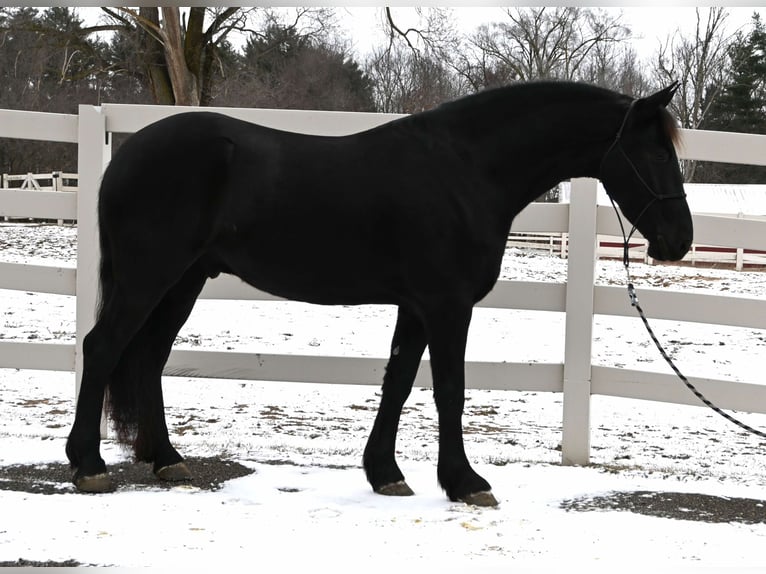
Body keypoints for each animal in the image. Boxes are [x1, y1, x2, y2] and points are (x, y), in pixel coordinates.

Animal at [66, 80, 692, 504]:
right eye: (657, 152)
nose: (679, 240)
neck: (466, 170)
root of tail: (126, 155)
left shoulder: (416, 307)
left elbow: (398, 383)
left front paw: (386, 474)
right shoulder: (447, 306)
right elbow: (449, 391)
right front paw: (465, 482)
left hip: (183, 281)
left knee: (148, 357)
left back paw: (167, 461)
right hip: (150, 278)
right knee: (103, 348)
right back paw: (88, 464)